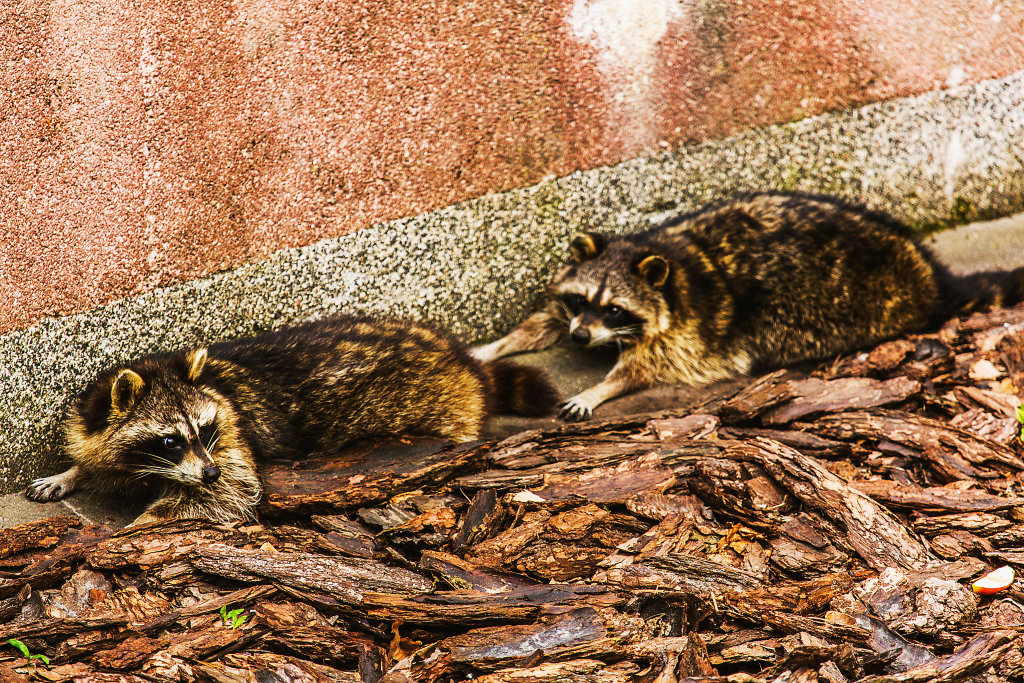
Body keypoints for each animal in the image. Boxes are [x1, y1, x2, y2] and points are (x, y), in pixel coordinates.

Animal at [28, 315, 557, 524]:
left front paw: (136, 523)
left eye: (205, 431)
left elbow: (233, 489)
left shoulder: (232, 440)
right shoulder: (93, 422)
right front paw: (72, 472)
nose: (208, 471)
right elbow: (93, 456)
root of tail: (461, 358)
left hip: (443, 404)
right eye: (171, 441)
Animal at [475, 189, 1024, 419]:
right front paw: (494, 346)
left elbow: (641, 369)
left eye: (615, 309)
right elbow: (541, 321)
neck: (654, 259)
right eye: (583, 301)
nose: (581, 337)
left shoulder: (682, 333)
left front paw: (599, 388)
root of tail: (931, 278)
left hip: (831, 306)